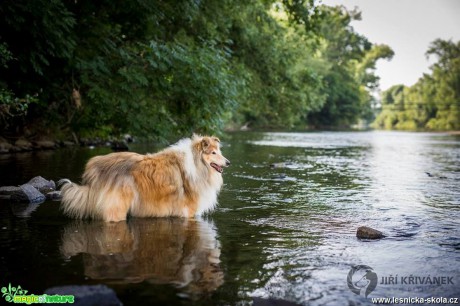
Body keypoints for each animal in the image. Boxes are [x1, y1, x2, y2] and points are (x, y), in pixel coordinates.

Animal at [60, 135, 230, 221]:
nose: (229, 162)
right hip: (117, 206)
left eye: (219, 151)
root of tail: (95, 165)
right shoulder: (188, 211)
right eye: (213, 153)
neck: (197, 164)